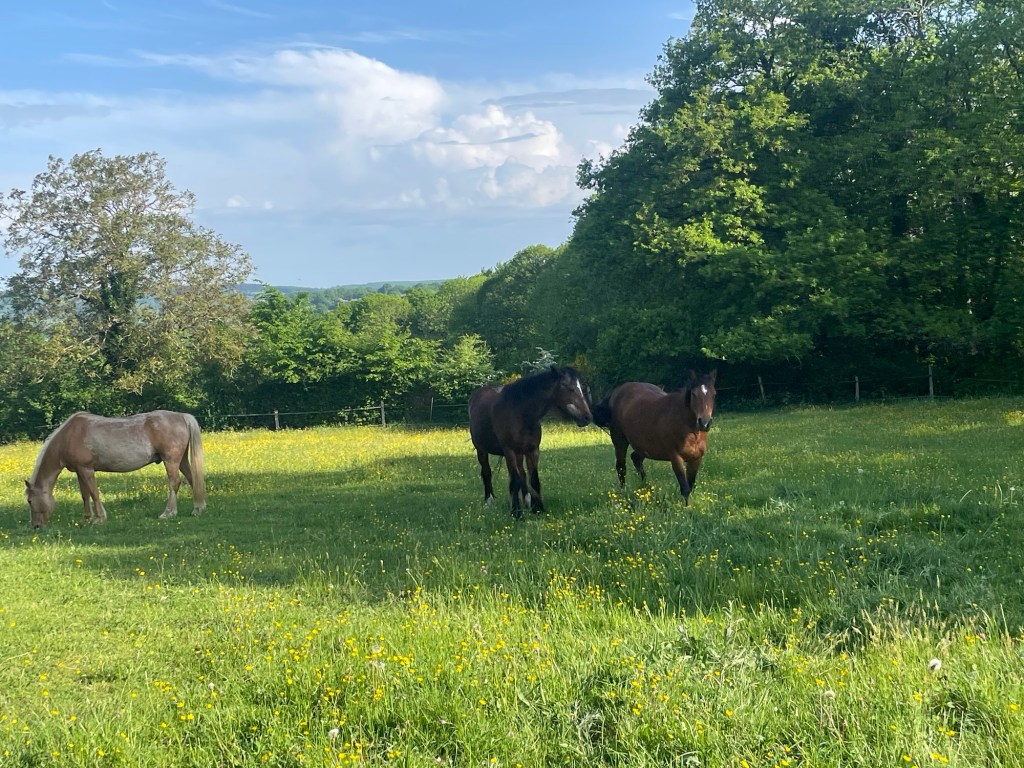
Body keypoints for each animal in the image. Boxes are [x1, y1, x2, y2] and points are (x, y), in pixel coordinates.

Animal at [25, 410, 207, 528]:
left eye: (29, 500)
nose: (36, 526)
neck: (69, 436)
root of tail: (182, 416)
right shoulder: (79, 471)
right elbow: (85, 495)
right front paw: (87, 519)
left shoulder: (86, 470)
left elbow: (94, 493)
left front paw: (99, 518)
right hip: (181, 460)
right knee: (193, 480)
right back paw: (198, 510)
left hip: (171, 460)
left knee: (174, 483)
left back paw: (168, 513)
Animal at [469, 365, 593, 517]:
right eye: (567, 387)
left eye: (581, 387)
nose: (587, 417)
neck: (521, 413)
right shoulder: (509, 451)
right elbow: (514, 481)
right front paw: (517, 513)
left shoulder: (532, 450)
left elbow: (533, 479)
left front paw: (538, 508)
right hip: (482, 450)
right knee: (487, 472)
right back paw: (489, 501)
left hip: (519, 453)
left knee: (522, 473)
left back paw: (527, 500)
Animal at [592, 370, 717, 505]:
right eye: (694, 394)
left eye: (713, 394)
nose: (704, 423)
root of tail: (616, 392)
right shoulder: (676, 458)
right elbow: (685, 488)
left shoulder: (696, 458)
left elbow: (691, 485)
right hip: (619, 441)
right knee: (621, 467)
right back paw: (624, 495)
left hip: (644, 446)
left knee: (636, 459)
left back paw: (645, 488)